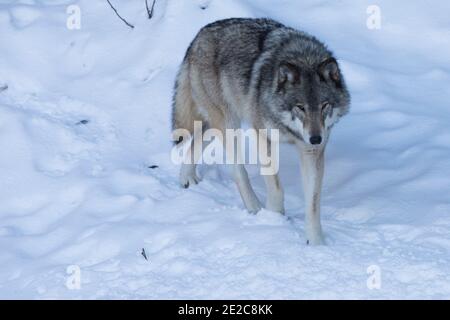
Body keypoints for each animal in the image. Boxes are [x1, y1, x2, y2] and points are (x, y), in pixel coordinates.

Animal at [171, 18, 350, 245]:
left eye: (324, 105)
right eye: (300, 107)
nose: (316, 138)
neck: (303, 56)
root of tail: (199, 35)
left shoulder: (310, 151)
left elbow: (313, 203)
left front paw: (316, 242)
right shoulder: (262, 136)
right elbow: (275, 185)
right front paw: (275, 217)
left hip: (216, 122)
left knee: (196, 142)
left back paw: (187, 178)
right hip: (229, 124)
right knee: (238, 171)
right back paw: (255, 209)